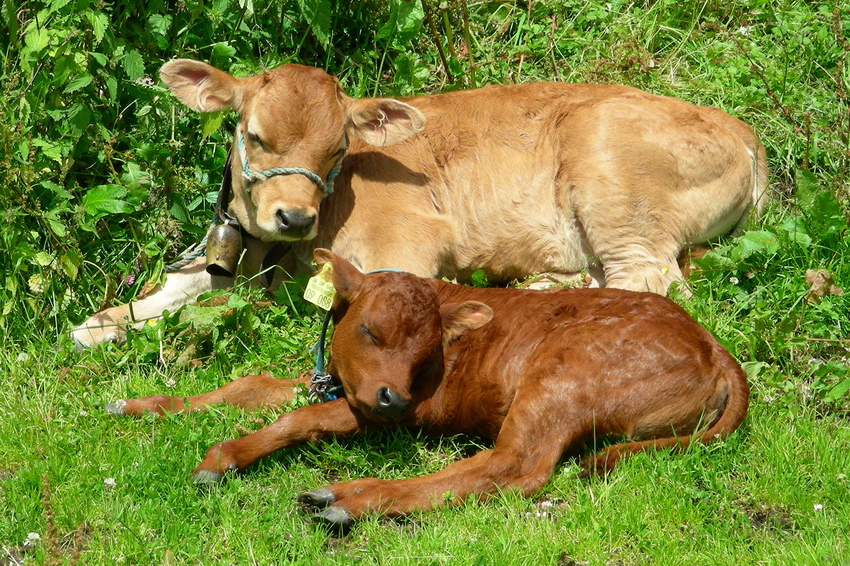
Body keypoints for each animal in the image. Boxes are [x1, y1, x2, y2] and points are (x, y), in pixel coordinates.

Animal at [104, 251, 744, 532]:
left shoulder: (392, 413)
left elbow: (296, 421)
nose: (394, 396)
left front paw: (223, 457)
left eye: (428, 352)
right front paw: (144, 406)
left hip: (563, 371)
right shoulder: (338, 383)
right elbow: (250, 385)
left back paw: (351, 499)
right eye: (369, 330)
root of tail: (715, 347)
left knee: (516, 468)